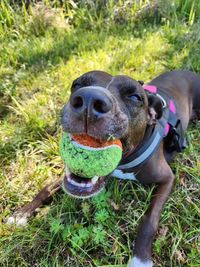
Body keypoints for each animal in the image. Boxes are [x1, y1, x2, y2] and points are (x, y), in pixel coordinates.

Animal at [7, 70, 199, 267]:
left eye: (135, 97)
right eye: (77, 85)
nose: (89, 99)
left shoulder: (167, 178)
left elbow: (150, 218)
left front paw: (141, 258)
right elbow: (46, 188)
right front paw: (22, 213)